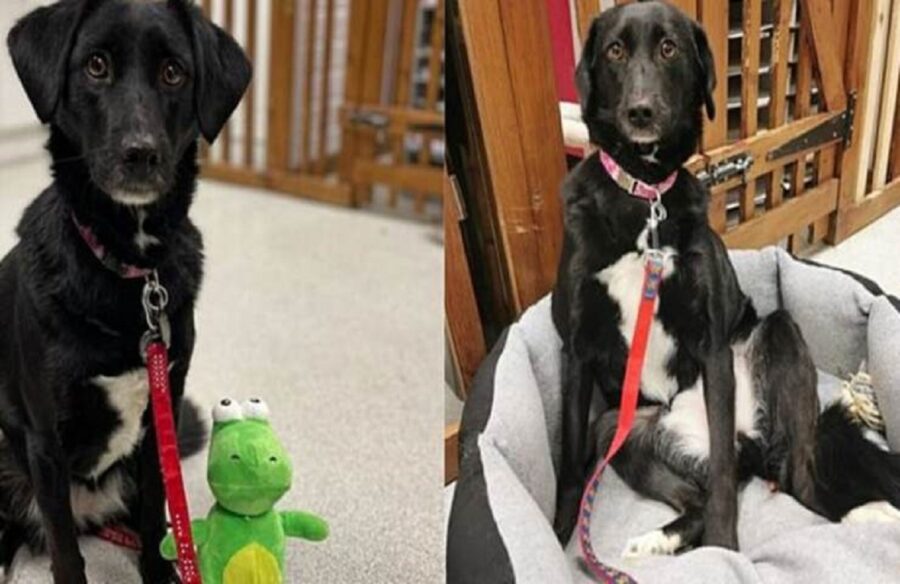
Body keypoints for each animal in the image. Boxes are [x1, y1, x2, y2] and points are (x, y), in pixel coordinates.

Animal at [1, 1, 250, 584]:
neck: (129, 269)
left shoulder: (161, 419)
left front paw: (162, 571)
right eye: (96, 66)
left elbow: (160, 521)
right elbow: (65, 549)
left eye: (174, 72)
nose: (141, 154)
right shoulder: (45, 444)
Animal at [552, 0, 900, 556]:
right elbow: (568, 459)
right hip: (619, 431)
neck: (645, 195)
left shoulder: (712, 347)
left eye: (669, 47)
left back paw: (865, 515)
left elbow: (719, 483)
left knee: (791, 475)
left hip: (778, 334)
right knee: (698, 492)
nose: (641, 112)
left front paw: (725, 553)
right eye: (615, 51)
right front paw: (557, 533)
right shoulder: (579, 350)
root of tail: (749, 444)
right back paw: (657, 541)